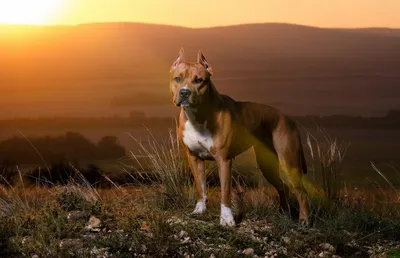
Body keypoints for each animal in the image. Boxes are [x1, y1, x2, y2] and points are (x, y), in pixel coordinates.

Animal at [169, 47, 310, 226]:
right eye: (177, 78)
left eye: (199, 80)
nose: (185, 92)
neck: (198, 115)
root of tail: (289, 118)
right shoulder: (194, 158)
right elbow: (201, 188)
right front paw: (199, 210)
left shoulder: (223, 160)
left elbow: (225, 192)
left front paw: (227, 219)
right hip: (267, 164)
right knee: (282, 186)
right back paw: (284, 213)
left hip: (289, 161)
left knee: (301, 192)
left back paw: (304, 220)